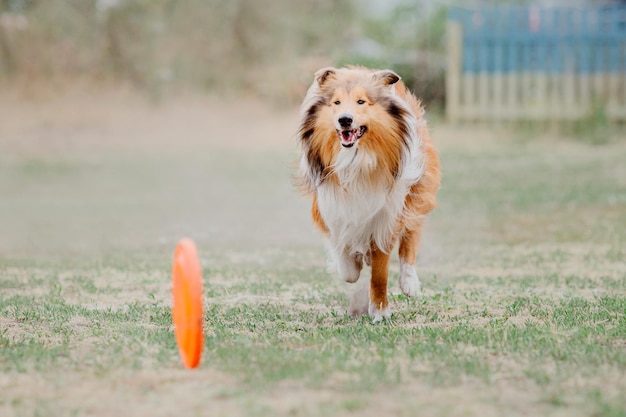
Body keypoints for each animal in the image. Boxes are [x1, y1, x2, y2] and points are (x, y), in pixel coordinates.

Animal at [296, 66, 438, 322]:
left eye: (361, 101)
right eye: (336, 102)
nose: (345, 119)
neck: (356, 160)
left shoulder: (386, 216)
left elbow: (380, 273)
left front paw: (380, 310)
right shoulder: (330, 209)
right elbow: (346, 263)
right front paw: (353, 264)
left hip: (417, 192)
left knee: (411, 237)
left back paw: (409, 282)